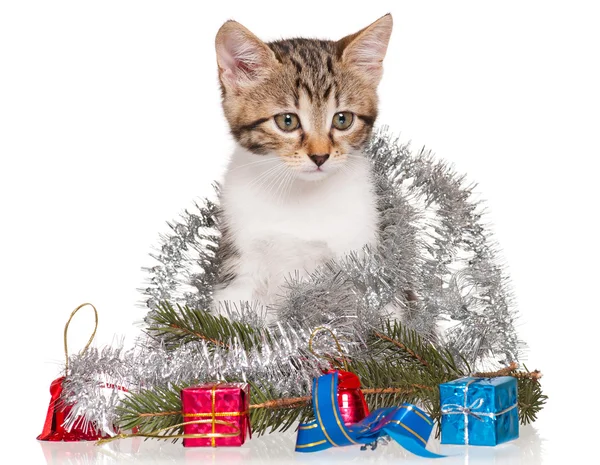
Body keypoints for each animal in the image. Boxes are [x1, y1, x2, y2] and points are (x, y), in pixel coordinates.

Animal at [212, 13, 394, 320]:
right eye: (287, 121)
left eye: (343, 119)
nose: (320, 156)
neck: (300, 196)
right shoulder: (240, 258)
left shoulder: (361, 254)